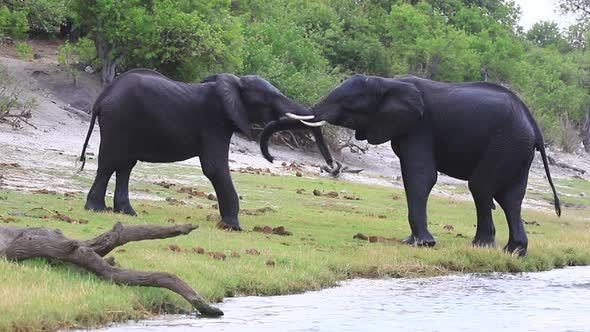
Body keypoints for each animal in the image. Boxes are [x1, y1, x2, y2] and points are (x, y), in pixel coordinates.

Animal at [79, 69, 336, 231]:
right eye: (268, 99)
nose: (332, 167)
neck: (233, 84)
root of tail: (102, 97)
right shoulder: (214, 122)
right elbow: (214, 167)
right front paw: (234, 227)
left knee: (125, 164)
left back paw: (127, 213)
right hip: (118, 119)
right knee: (110, 161)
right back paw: (96, 210)